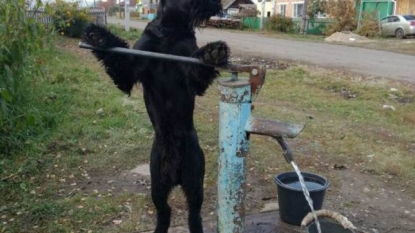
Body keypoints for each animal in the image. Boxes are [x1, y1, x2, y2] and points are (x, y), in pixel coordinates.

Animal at [82, 0, 229, 231]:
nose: (217, 4)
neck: (170, 28)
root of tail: (175, 176)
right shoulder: (130, 70)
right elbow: (118, 59)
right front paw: (98, 36)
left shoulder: (191, 74)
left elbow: (198, 68)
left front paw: (213, 53)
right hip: (157, 185)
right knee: (164, 212)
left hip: (195, 183)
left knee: (193, 214)